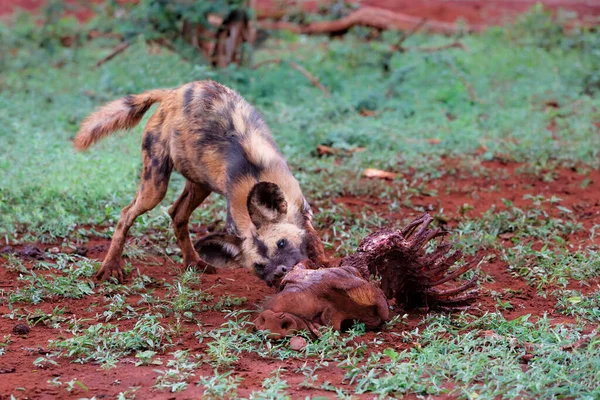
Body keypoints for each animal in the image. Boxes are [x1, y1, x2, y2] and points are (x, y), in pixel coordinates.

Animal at [75, 80, 330, 284]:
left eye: (282, 244)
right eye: (258, 266)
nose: (280, 272)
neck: (254, 177)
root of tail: (171, 94)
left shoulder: (303, 210)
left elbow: (313, 240)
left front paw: (322, 265)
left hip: (200, 184)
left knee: (177, 213)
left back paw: (193, 262)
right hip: (155, 187)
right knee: (127, 213)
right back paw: (110, 267)